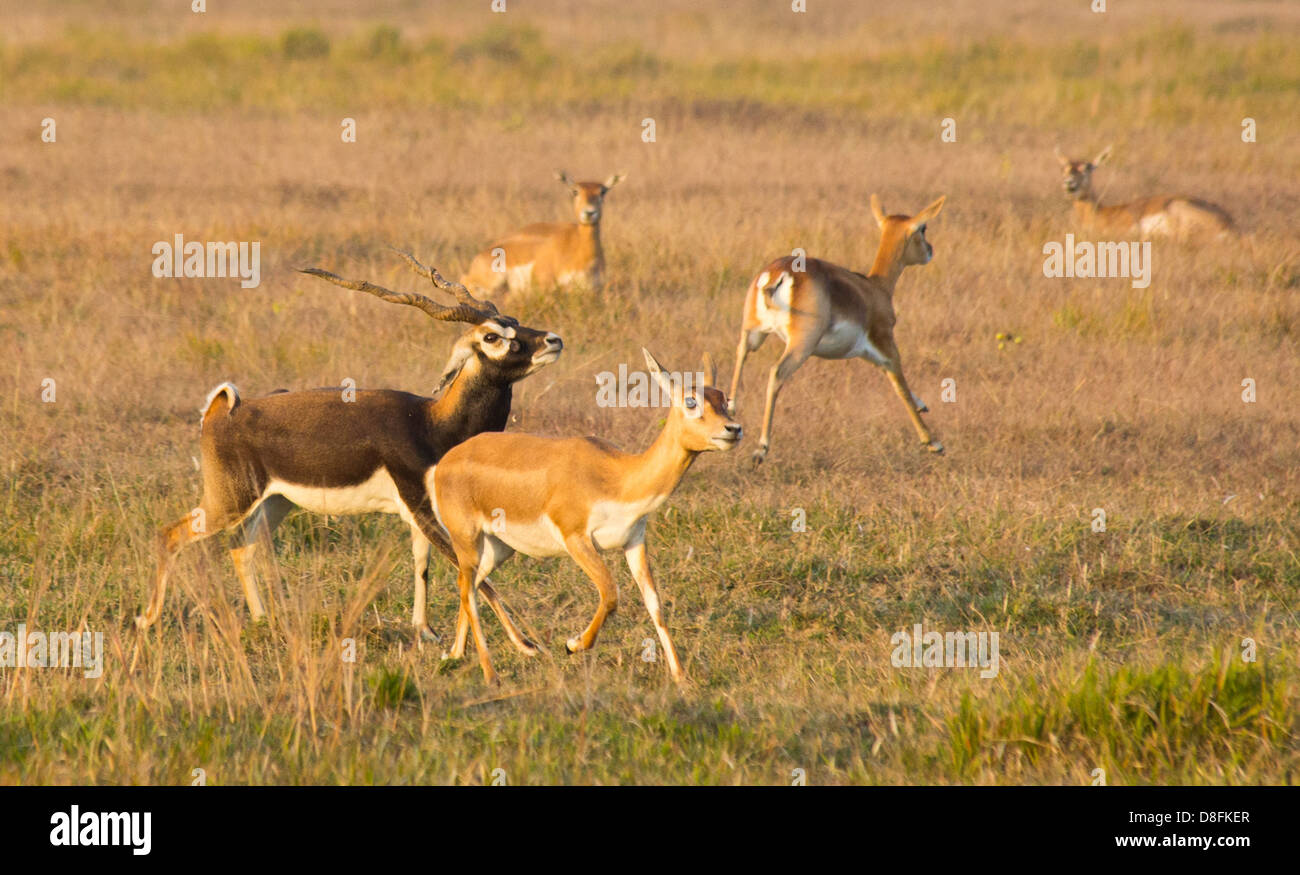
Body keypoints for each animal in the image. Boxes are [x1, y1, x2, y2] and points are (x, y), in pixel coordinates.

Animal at [138, 249, 564, 652]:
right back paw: (147, 620)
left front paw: (425, 631)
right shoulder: (423, 507)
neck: (433, 424)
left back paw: (261, 621)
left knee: (243, 548)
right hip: (229, 500)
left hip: (275, 502)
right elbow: (471, 573)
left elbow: (422, 563)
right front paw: (527, 644)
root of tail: (222, 410)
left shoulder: (420, 515)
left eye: (516, 320)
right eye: (492, 337)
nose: (554, 340)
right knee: (171, 535)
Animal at [431, 345, 743, 681]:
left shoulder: (634, 541)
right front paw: (573, 644)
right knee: (468, 589)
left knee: (469, 585)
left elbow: (654, 603)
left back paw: (456, 653)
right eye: (691, 400)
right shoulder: (576, 538)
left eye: (725, 399)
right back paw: (491, 674)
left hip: (498, 548)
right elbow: (610, 592)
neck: (618, 477)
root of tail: (445, 461)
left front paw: (681, 676)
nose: (734, 429)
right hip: (466, 538)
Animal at [728, 192, 951, 462]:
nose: (930, 250)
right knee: (776, 373)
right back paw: (761, 448)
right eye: (923, 228)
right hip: (800, 346)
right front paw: (933, 442)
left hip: (754, 332)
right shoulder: (886, 344)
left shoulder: (863, 352)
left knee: (741, 353)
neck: (875, 288)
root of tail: (777, 275)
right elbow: (900, 386)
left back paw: (731, 409)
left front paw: (923, 405)